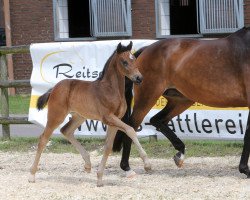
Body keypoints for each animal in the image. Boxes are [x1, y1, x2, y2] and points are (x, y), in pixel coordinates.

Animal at [28, 41, 151, 187]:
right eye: (124, 62)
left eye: (134, 60)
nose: (139, 78)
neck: (111, 90)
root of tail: (54, 88)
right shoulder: (108, 118)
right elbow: (130, 130)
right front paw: (147, 164)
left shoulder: (114, 121)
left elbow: (108, 146)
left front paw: (99, 178)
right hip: (56, 116)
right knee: (43, 139)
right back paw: (32, 175)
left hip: (79, 117)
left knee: (66, 130)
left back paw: (87, 164)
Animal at [113, 26, 250, 178]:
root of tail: (147, 49)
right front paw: (245, 169)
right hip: (148, 97)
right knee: (131, 125)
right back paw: (127, 167)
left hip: (181, 100)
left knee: (157, 119)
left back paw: (180, 153)